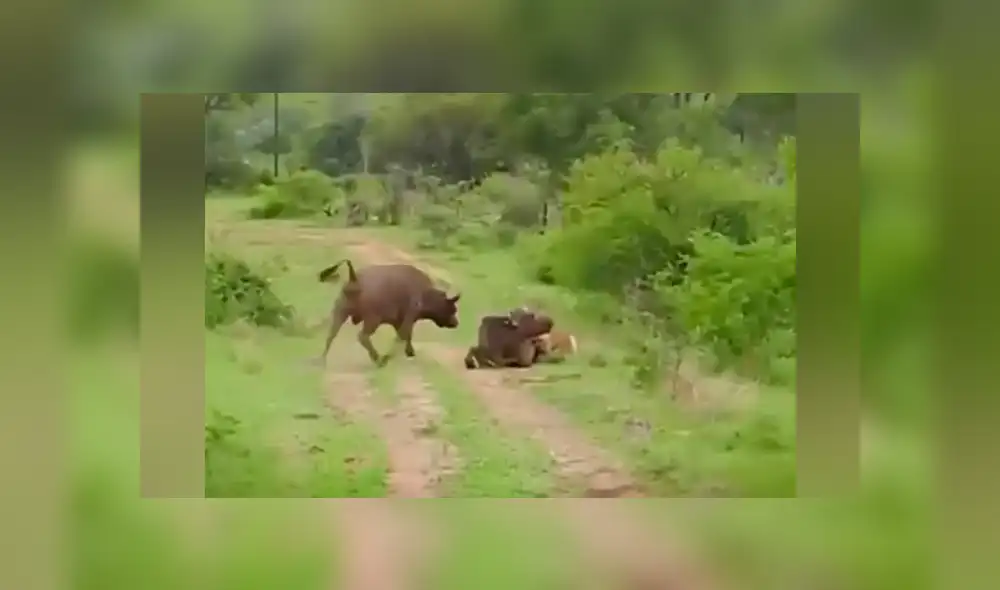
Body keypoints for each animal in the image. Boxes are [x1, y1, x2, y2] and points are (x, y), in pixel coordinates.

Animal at [314, 258, 461, 367]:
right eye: (452, 308)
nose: (456, 323)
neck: (426, 293)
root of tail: (355, 279)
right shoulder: (409, 318)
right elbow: (403, 336)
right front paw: (388, 358)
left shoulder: (398, 321)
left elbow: (405, 337)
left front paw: (410, 352)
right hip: (372, 320)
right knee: (362, 336)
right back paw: (378, 359)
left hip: (340, 313)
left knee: (331, 336)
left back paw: (321, 361)